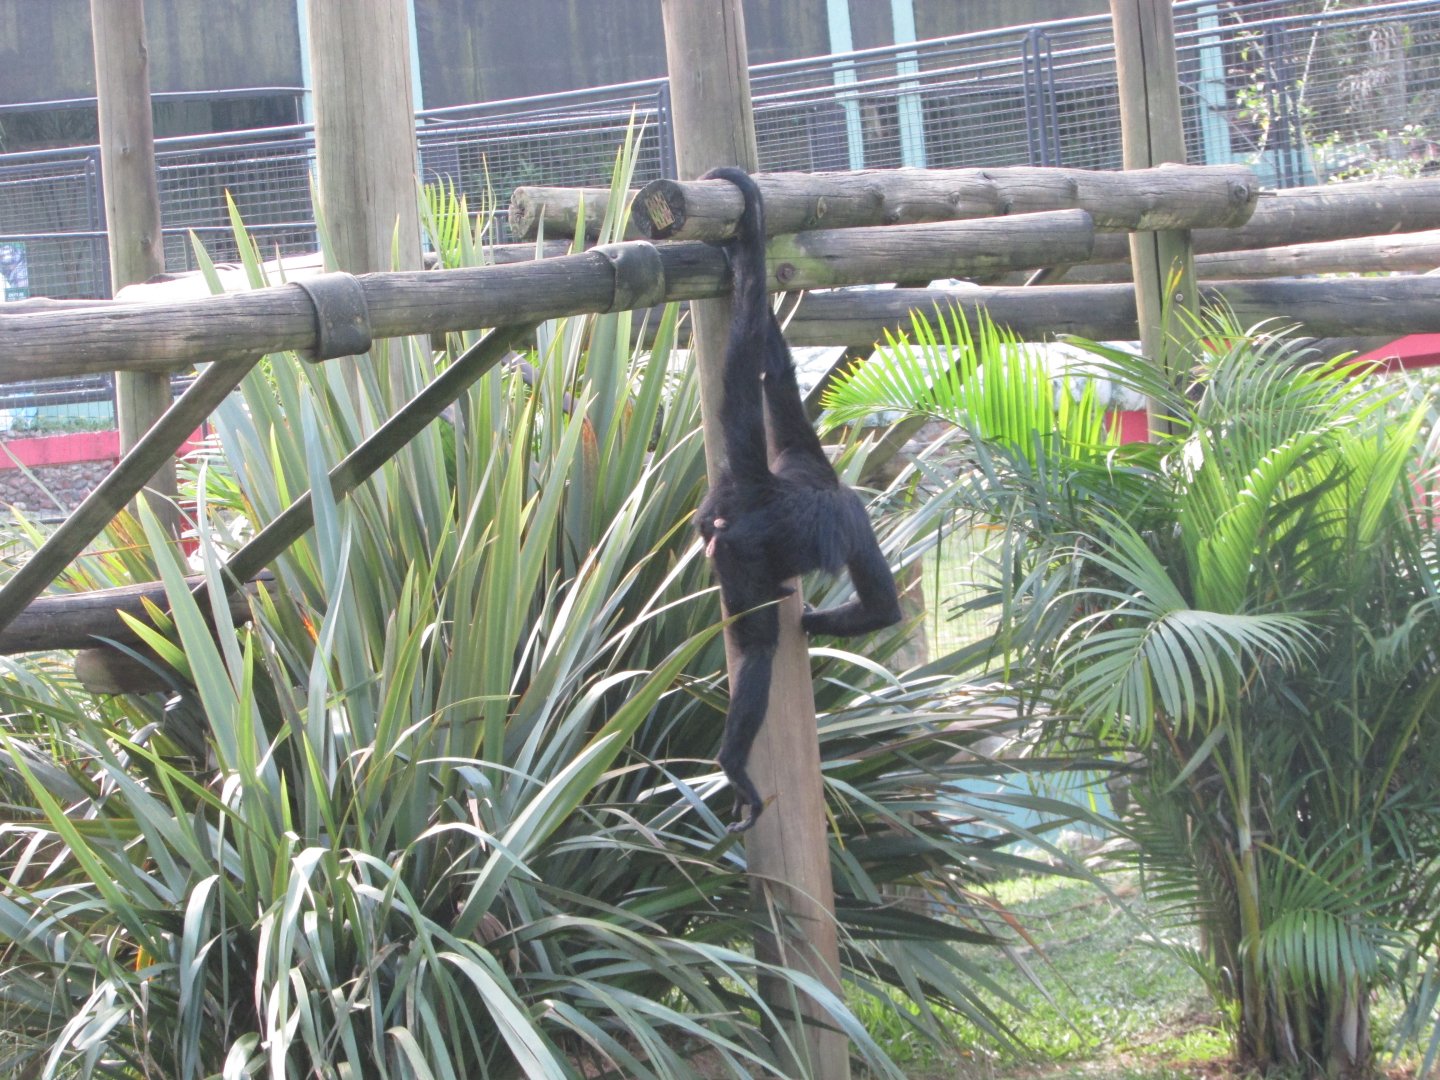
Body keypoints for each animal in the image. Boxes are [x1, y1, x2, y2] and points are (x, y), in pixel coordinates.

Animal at [696, 167, 902, 834]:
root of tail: (755, 488)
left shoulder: (798, 444)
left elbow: (775, 374)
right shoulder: (858, 523)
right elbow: (883, 607)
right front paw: (813, 620)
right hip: (737, 552)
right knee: (760, 644)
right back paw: (733, 764)